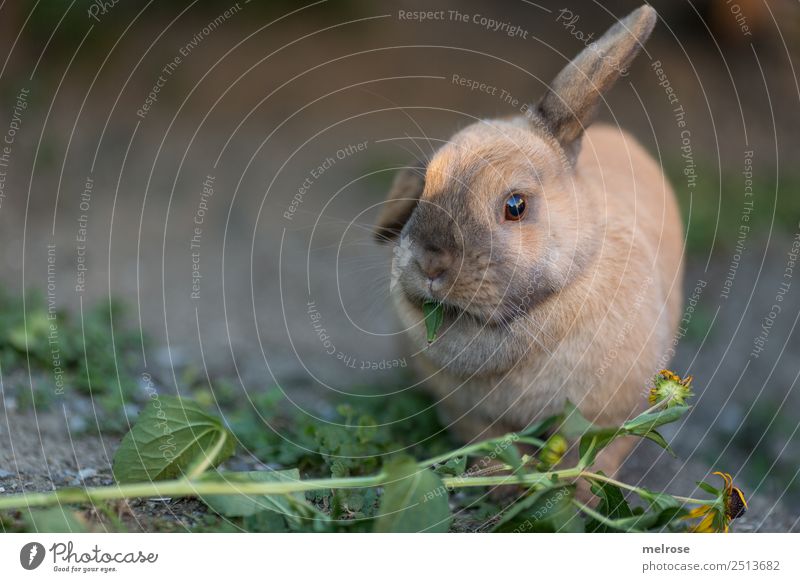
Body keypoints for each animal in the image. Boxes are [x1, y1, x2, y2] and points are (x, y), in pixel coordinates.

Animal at [374, 5, 680, 480]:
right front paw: (502, 485)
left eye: (515, 205)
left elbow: (594, 459)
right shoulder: (469, 417)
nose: (430, 264)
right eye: (424, 185)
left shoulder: (610, 417)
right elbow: (491, 449)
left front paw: (574, 492)